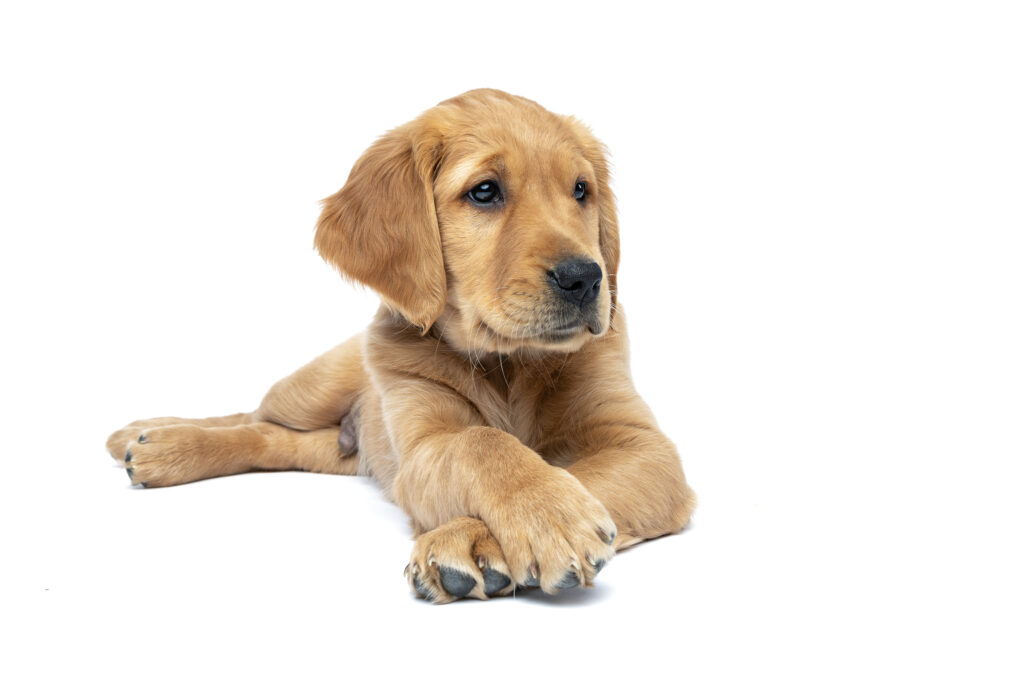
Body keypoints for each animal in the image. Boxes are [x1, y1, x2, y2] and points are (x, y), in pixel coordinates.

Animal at [105, 89, 696, 602]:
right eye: (485, 191)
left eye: (580, 191)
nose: (585, 278)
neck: (508, 365)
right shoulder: (423, 446)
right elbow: (481, 442)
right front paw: (549, 515)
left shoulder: (642, 445)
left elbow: (572, 470)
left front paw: (479, 539)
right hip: (315, 387)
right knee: (251, 416)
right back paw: (151, 438)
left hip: (340, 451)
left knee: (275, 441)